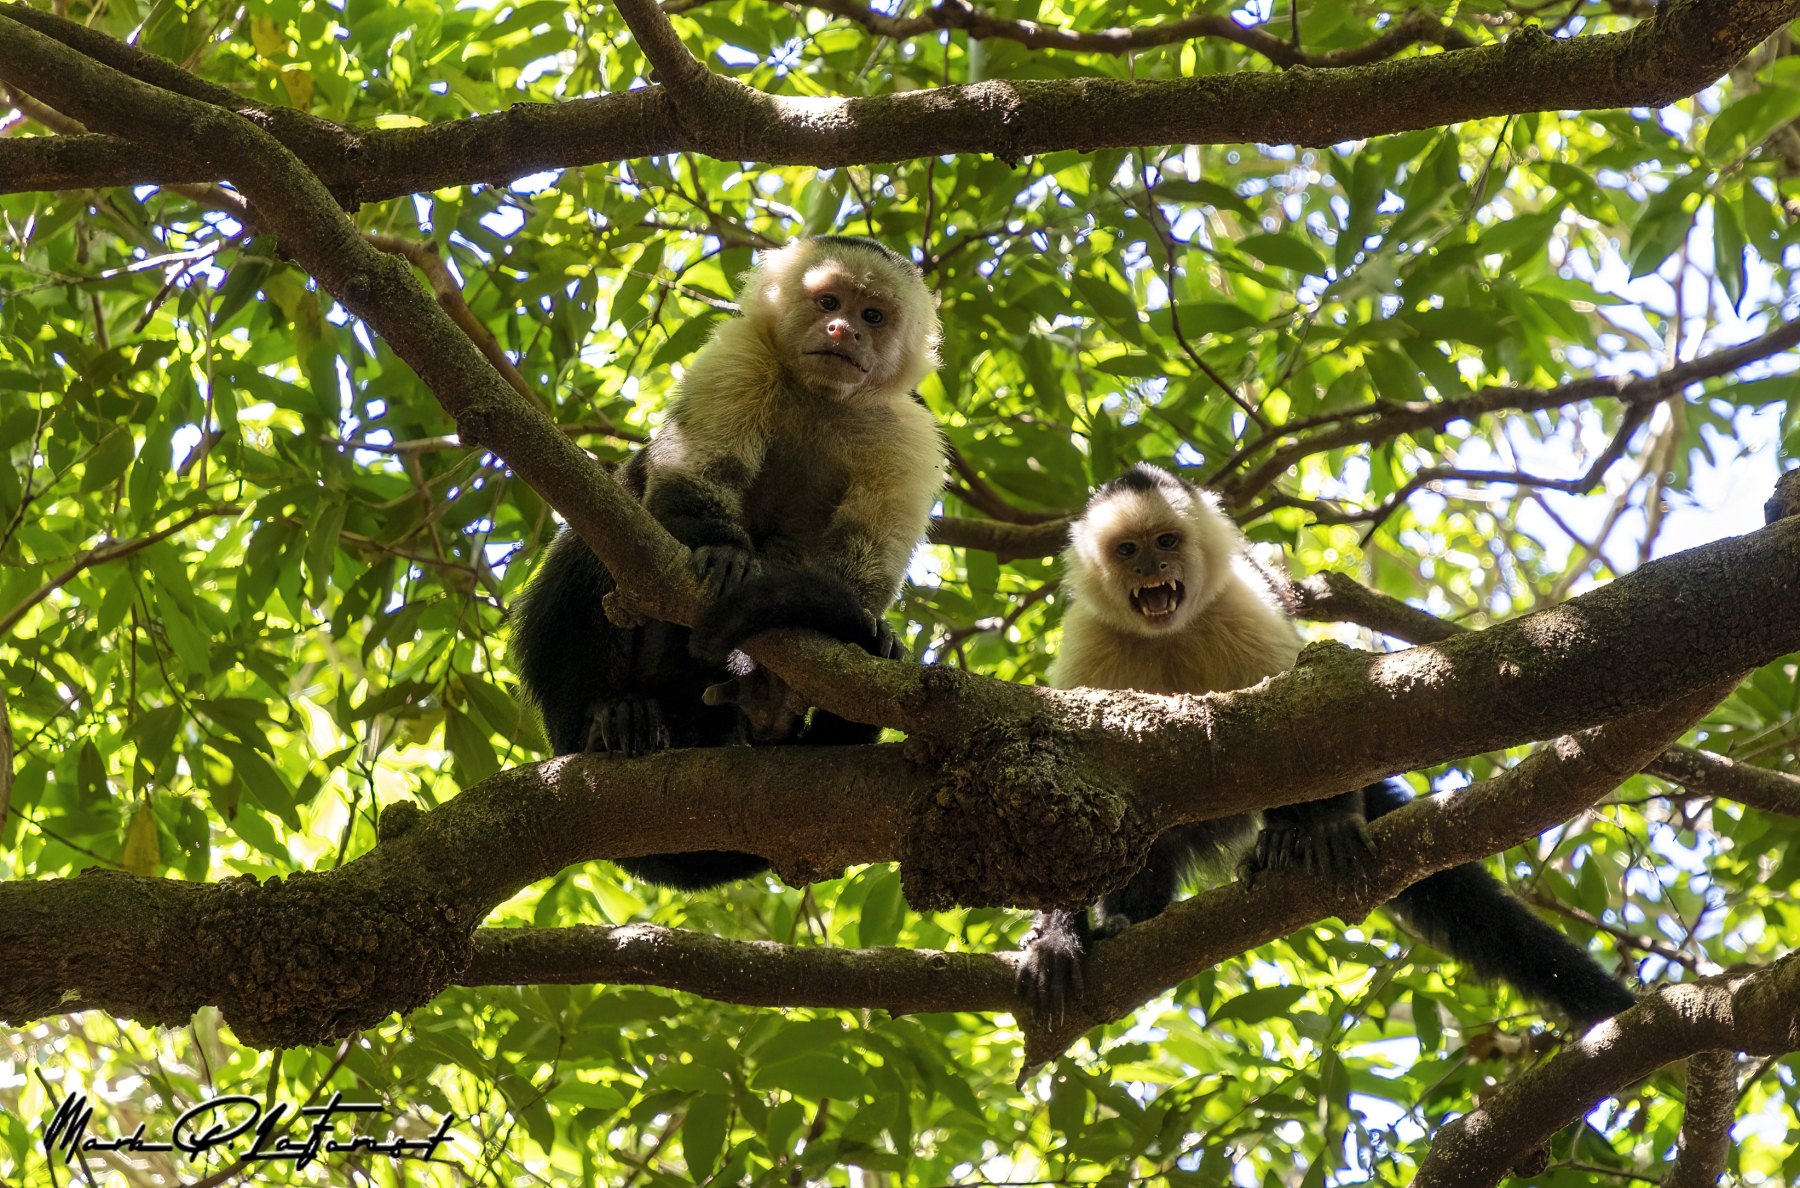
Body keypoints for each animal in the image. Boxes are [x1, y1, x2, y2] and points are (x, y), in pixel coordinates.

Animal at [510, 235, 945, 891]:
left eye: (873, 316)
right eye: (828, 301)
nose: (842, 330)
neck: (818, 400)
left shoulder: (906, 431)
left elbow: (864, 558)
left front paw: (850, 634)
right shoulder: (740, 358)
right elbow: (700, 469)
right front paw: (721, 548)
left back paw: (767, 707)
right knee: (608, 531)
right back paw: (609, 715)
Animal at [1017, 463, 1638, 1026]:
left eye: (1166, 541)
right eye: (1127, 550)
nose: (1152, 566)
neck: (1169, 633)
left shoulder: (1243, 605)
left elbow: (1321, 730)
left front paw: (1329, 824)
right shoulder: (1088, 642)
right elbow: (1066, 824)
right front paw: (1058, 938)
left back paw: (1288, 838)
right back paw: (1130, 917)